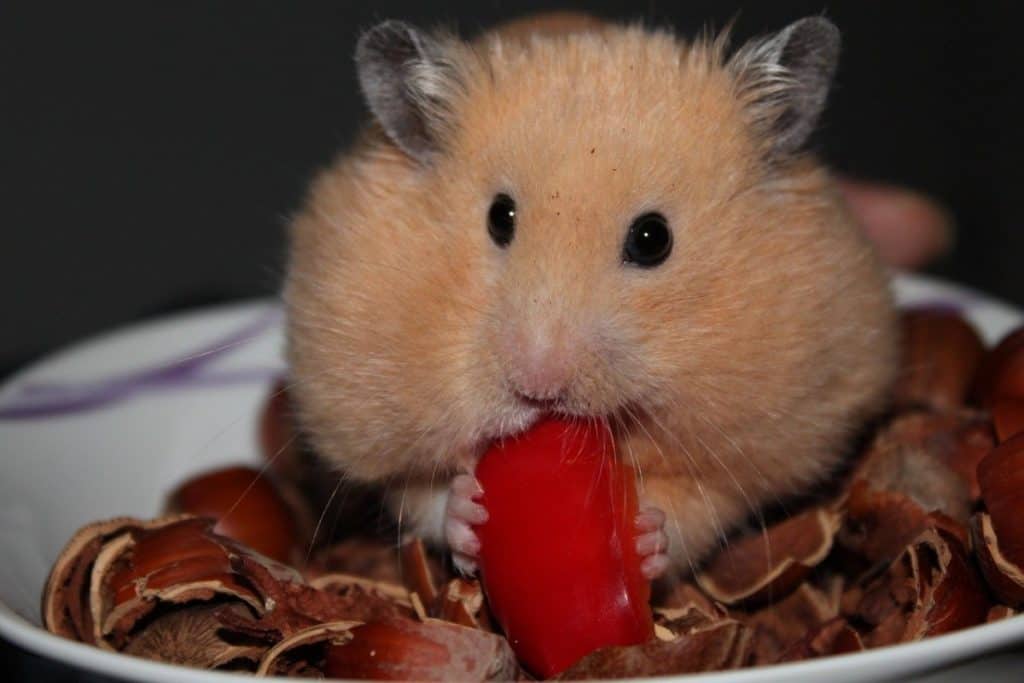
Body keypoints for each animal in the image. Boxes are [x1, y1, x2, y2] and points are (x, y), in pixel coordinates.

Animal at [280, 10, 897, 577]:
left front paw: (647, 536)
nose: (538, 388)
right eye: (499, 217)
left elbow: (699, 505)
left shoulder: (754, 444)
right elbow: (417, 491)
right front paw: (467, 512)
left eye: (653, 239)